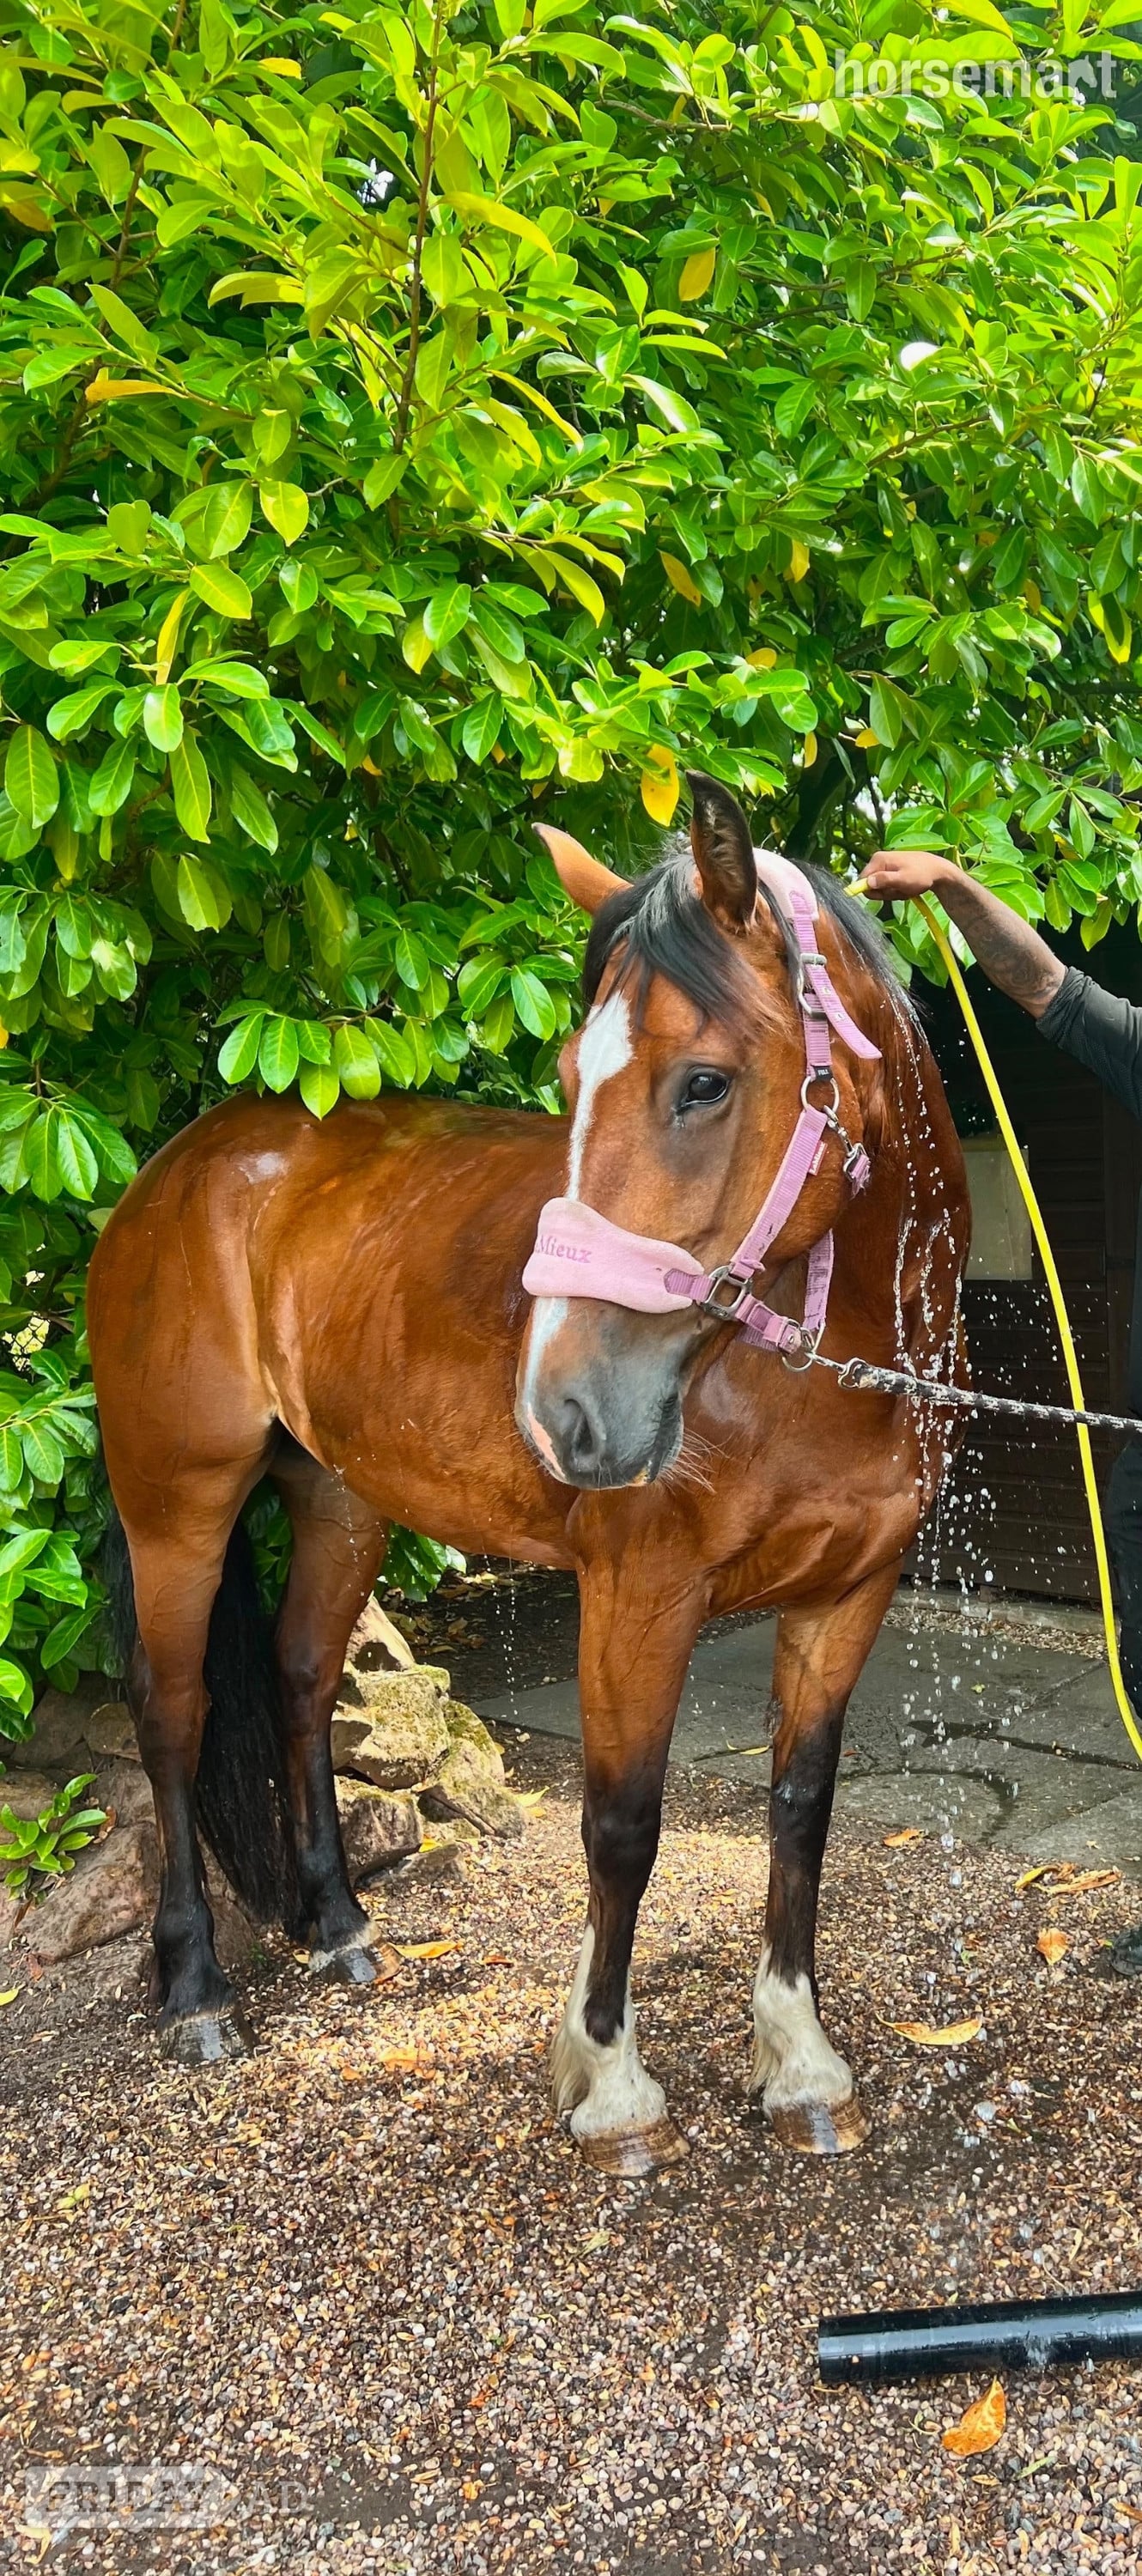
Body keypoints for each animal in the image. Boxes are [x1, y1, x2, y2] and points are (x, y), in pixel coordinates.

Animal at [87, 772, 969, 2173]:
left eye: (702, 1083)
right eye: (566, 1078)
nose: (563, 1412)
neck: (811, 1364)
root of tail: (180, 1167)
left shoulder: (850, 1597)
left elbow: (799, 1809)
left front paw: (800, 2063)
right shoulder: (638, 1600)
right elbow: (621, 1828)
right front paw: (609, 2086)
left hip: (339, 1497)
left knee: (298, 1676)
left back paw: (339, 1927)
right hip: (178, 1501)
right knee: (173, 1714)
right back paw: (195, 1991)